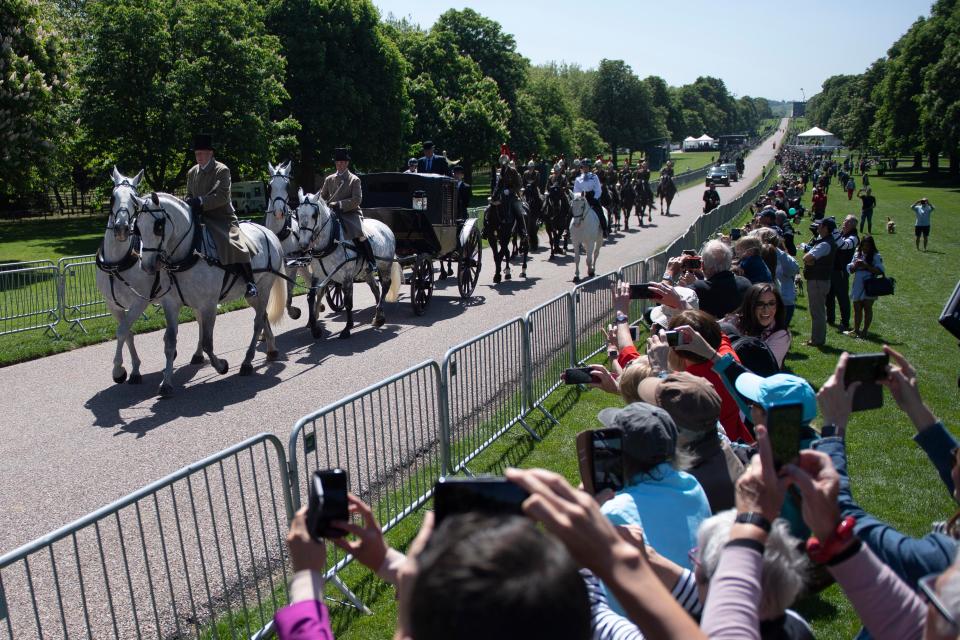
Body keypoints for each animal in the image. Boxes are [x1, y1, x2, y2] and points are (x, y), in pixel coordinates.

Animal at [98, 168, 191, 382]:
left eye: (135, 200)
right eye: (112, 198)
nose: (122, 228)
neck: (117, 263)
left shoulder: (139, 302)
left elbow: (122, 331)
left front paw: (118, 370)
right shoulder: (112, 305)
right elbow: (128, 333)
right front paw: (134, 369)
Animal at [134, 190, 284, 396]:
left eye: (158, 226)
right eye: (138, 228)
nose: (147, 266)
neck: (189, 253)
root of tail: (268, 232)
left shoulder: (209, 305)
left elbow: (207, 342)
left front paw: (221, 366)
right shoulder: (171, 304)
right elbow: (170, 341)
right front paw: (166, 383)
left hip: (263, 288)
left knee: (257, 323)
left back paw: (247, 361)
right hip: (252, 295)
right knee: (263, 316)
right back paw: (271, 349)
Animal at [262, 160, 312, 320]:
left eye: (287, 186)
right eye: (270, 186)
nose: (279, 212)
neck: (280, 234)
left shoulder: (292, 264)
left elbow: (289, 288)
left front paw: (292, 311)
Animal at [292, 188, 398, 340]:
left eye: (314, 215)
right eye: (297, 213)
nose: (303, 244)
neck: (331, 241)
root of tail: (385, 227)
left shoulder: (346, 277)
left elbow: (348, 302)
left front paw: (347, 328)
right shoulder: (318, 276)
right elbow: (311, 297)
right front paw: (314, 328)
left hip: (385, 266)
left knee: (385, 286)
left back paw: (379, 315)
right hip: (366, 271)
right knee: (375, 288)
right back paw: (378, 315)